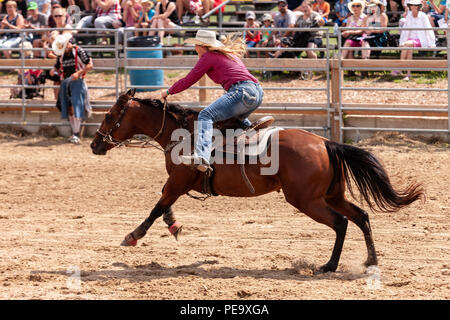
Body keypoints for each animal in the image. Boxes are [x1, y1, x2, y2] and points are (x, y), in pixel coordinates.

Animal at [89, 89, 424, 272]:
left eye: (109, 116)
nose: (94, 144)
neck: (181, 133)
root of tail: (324, 143)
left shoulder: (180, 182)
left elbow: (157, 206)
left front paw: (133, 236)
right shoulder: (178, 183)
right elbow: (163, 203)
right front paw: (174, 226)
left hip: (306, 200)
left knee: (341, 223)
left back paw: (328, 266)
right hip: (331, 195)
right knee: (362, 216)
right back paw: (370, 261)